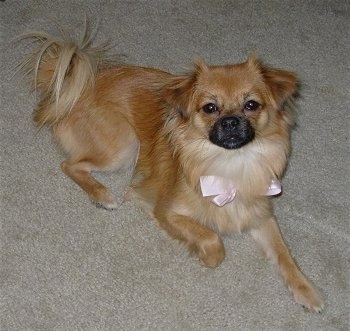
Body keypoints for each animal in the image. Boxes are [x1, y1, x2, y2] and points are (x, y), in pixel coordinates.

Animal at [20, 27, 324, 312]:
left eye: (251, 105)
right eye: (209, 108)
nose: (230, 121)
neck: (230, 164)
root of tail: (74, 87)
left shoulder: (260, 215)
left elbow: (284, 254)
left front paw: (306, 289)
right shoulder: (167, 212)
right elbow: (212, 239)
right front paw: (205, 256)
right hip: (124, 146)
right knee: (69, 164)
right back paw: (102, 194)